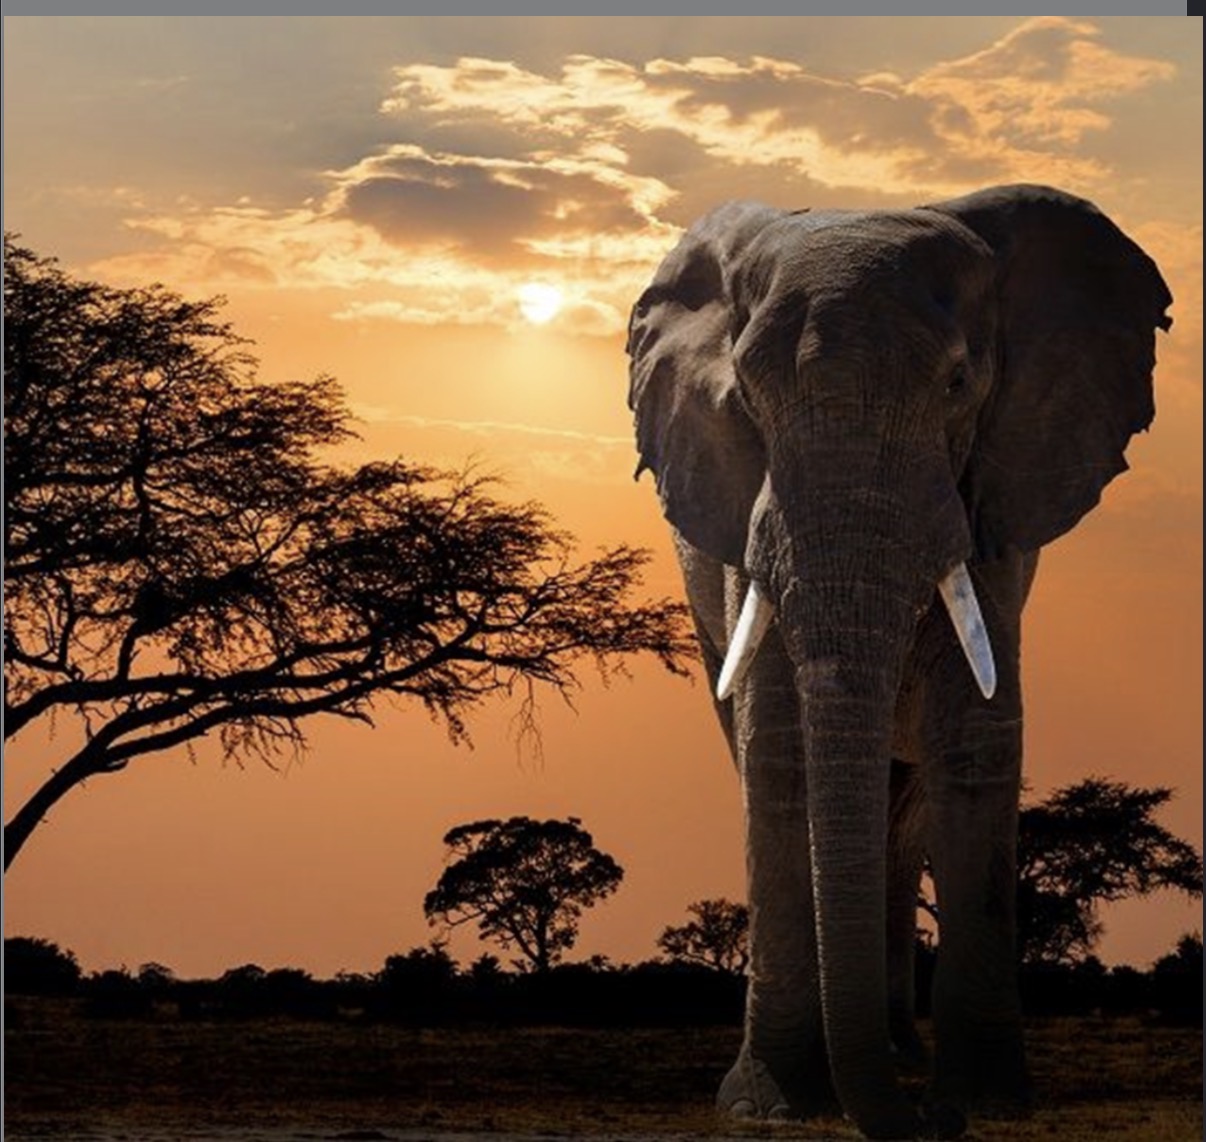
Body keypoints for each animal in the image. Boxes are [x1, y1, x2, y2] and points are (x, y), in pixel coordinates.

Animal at [625, 184, 1171, 1139]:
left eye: (957, 385)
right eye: (747, 396)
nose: (931, 1123)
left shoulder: (994, 503)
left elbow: (976, 743)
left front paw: (984, 1099)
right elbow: (778, 757)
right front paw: (772, 1104)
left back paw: (902, 1056)